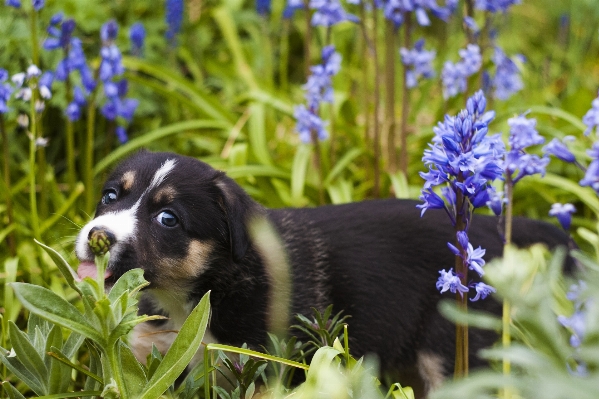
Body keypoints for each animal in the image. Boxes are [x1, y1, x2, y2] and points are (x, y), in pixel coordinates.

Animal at [75, 152, 572, 398]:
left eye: (168, 220)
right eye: (111, 195)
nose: (96, 236)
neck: (195, 296)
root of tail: (487, 231)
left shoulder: (266, 370)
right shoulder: (150, 358)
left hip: (451, 350)